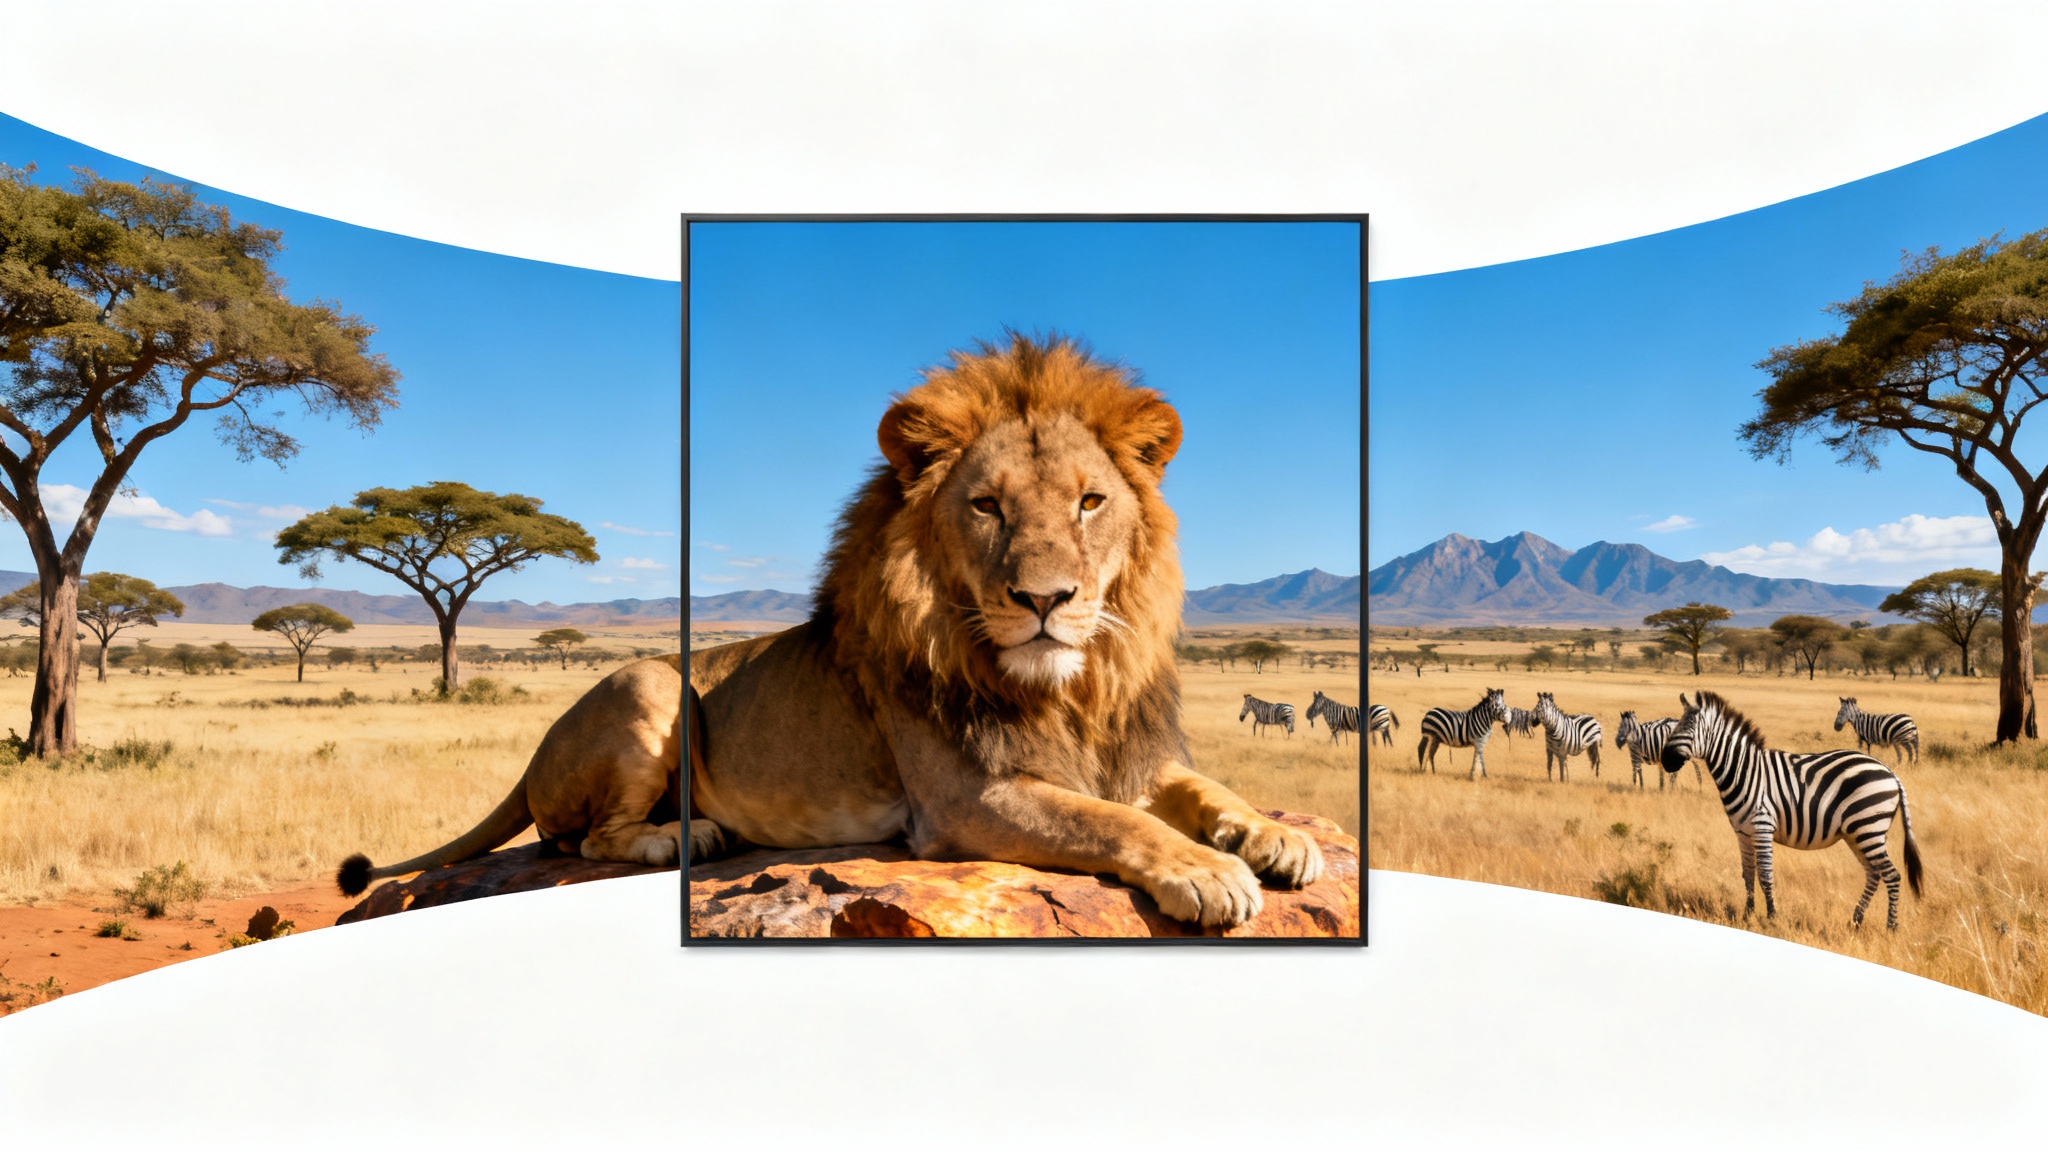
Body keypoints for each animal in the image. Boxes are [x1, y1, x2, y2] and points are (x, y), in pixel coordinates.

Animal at [688, 334, 1324, 928]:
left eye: (1090, 501)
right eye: (987, 506)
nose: (1044, 598)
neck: (1066, 695)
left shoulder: (1120, 753)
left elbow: (1201, 783)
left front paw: (1277, 835)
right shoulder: (963, 799)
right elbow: (1107, 817)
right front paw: (1206, 869)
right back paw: (689, 835)